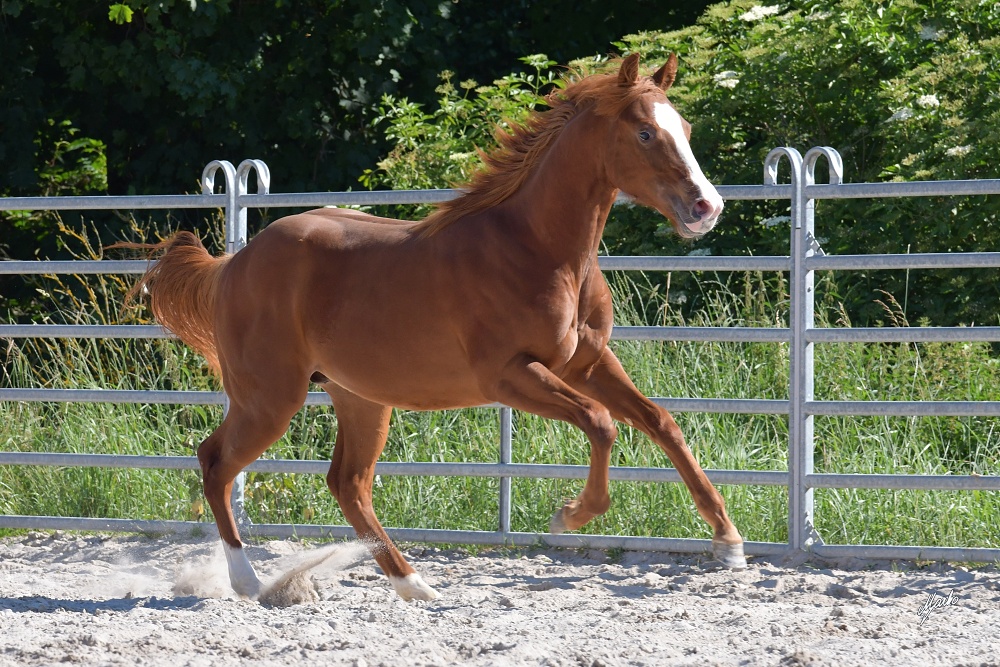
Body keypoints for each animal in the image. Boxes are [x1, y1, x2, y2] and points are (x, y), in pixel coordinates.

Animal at [131, 54, 744, 604]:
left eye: (685, 129)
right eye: (644, 132)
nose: (707, 207)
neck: (537, 250)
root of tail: (233, 264)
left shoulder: (586, 365)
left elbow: (661, 422)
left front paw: (728, 541)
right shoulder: (509, 376)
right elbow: (601, 423)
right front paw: (570, 515)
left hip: (359, 397)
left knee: (347, 484)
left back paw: (414, 585)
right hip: (270, 399)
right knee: (215, 462)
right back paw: (249, 581)